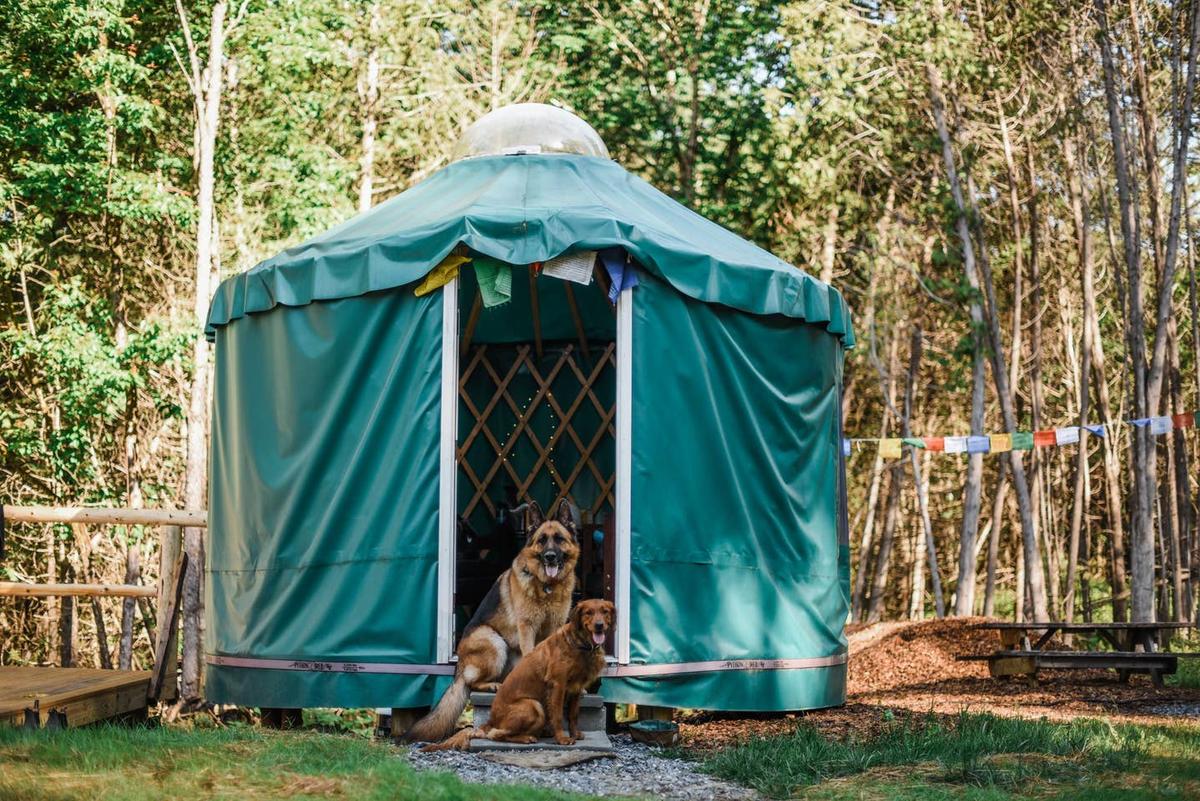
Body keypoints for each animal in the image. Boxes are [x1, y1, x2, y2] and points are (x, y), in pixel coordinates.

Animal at [405, 496, 578, 743]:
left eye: (559, 539)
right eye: (542, 541)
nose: (550, 557)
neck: (547, 587)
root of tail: (459, 665)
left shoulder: (555, 626)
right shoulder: (527, 628)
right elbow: (530, 653)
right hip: (493, 640)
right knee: (472, 682)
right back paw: (493, 685)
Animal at [422, 599, 614, 753]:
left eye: (605, 611)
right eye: (588, 613)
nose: (599, 625)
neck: (581, 645)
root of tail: (490, 721)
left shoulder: (575, 688)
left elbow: (574, 715)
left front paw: (575, 734)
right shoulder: (557, 685)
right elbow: (559, 715)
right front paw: (562, 739)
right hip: (533, 705)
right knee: (496, 734)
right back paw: (527, 737)